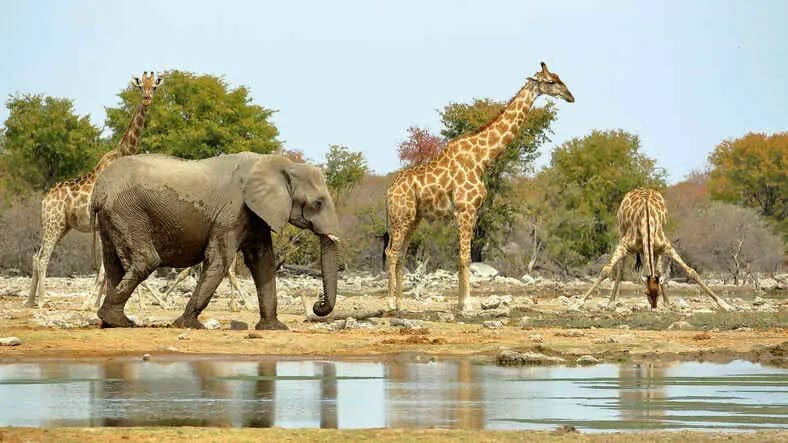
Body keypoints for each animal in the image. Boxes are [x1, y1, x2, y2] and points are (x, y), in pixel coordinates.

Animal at [26, 72, 162, 308]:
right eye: (139, 87)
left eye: (154, 86)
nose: (147, 99)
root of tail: (44, 199)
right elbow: (104, 269)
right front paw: (90, 303)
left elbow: (107, 268)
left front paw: (97, 302)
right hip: (54, 224)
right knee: (43, 258)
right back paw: (42, 301)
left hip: (59, 226)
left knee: (36, 256)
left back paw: (29, 301)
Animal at [89, 152, 340, 330]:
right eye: (317, 203)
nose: (318, 304)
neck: (282, 165)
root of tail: (98, 189)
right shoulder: (232, 212)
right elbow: (220, 259)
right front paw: (189, 325)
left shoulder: (255, 214)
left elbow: (262, 261)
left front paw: (274, 328)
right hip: (128, 212)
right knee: (145, 261)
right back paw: (119, 321)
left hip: (113, 217)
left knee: (113, 265)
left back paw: (111, 322)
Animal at [384, 62, 575, 312]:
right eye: (551, 81)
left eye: (559, 77)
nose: (570, 96)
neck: (482, 159)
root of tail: (388, 192)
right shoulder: (465, 209)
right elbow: (465, 257)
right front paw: (467, 304)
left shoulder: (473, 211)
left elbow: (464, 258)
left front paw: (461, 302)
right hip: (401, 216)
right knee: (391, 252)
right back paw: (389, 303)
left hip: (413, 218)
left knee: (401, 254)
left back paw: (400, 304)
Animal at [579, 188, 731, 311]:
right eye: (646, 292)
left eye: (657, 292)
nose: (653, 307)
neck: (646, 222)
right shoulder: (623, 245)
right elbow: (606, 270)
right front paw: (579, 302)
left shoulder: (666, 246)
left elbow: (691, 272)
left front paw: (725, 304)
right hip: (621, 232)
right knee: (621, 269)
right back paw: (611, 301)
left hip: (656, 248)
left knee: (657, 268)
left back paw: (668, 302)